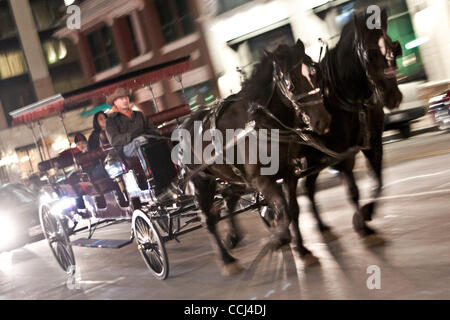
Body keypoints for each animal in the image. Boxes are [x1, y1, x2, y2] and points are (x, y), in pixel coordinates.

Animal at [178, 40, 336, 276]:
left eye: (315, 72)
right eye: (291, 84)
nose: (323, 121)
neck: (259, 120)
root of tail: (183, 125)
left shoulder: (288, 174)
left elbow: (293, 210)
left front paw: (302, 250)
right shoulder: (261, 179)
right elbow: (282, 209)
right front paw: (280, 238)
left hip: (233, 179)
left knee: (228, 201)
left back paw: (233, 237)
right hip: (200, 181)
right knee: (208, 220)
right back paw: (227, 260)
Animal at [300, 8, 402, 245]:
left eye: (395, 48)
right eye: (370, 55)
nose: (394, 97)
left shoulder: (373, 144)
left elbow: (378, 181)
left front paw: (367, 213)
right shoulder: (342, 155)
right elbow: (353, 190)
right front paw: (361, 223)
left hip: (314, 160)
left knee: (308, 188)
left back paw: (321, 226)